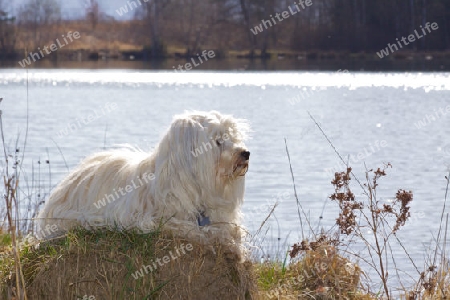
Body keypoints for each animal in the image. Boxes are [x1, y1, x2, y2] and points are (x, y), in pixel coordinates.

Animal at [37, 111, 250, 256]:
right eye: (218, 141)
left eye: (232, 137)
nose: (245, 153)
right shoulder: (154, 220)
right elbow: (190, 229)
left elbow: (230, 230)